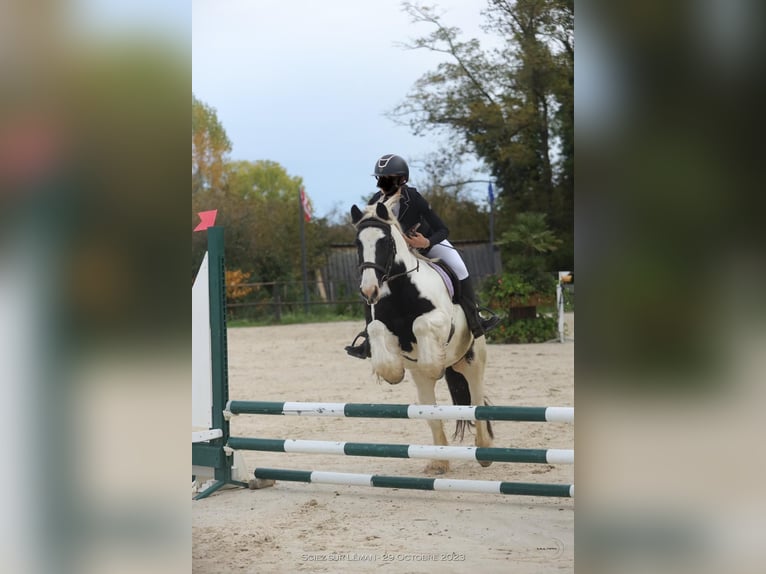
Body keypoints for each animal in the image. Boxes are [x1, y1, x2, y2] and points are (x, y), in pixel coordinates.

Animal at [352, 200, 496, 474]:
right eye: (358, 244)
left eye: (385, 242)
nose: (368, 291)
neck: (401, 288)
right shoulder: (383, 326)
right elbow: (376, 330)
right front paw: (392, 372)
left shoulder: (442, 321)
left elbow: (420, 325)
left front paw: (434, 364)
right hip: (422, 381)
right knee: (431, 411)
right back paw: (439, 461)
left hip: (473, 359)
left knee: (476, 400)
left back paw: (484, 449)